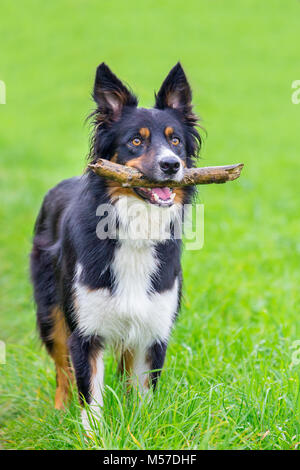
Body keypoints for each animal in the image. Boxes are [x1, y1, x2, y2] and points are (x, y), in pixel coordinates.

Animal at [29, 63, 202, 430]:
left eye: (175, 141)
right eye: (136, 140)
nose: (171, 165)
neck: (134, 229)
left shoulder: (152, 329)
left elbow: (142, 396)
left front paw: (140, 428)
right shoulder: (86, 330)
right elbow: (89, 397)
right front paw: (93, 436)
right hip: (51, 313)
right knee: (62, 370)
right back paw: (59, 412)